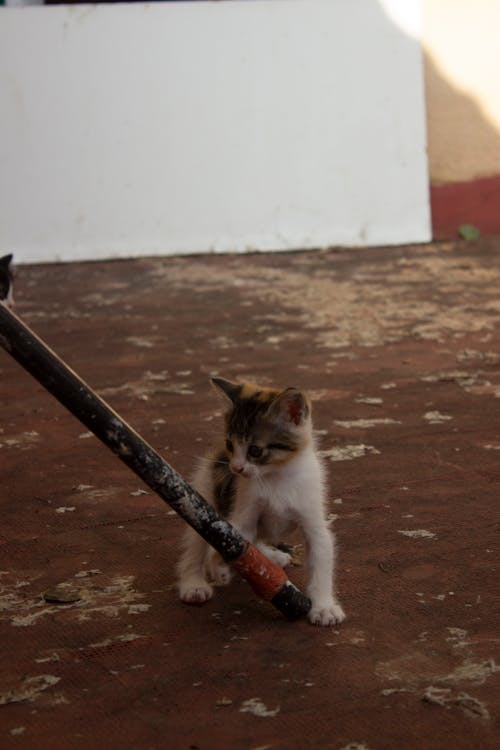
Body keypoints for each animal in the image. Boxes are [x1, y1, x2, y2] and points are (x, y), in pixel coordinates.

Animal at [178, 376, 346, 628]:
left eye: (255, 450)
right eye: (230, 444)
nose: (236, 468)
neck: (275, 476)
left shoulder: (313, 520)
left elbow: (321, 559)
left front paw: (324, 606)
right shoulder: (242, 513)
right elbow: (234, 542)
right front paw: (218, 566)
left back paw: (271, 557)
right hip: (201, 498)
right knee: (195, 547)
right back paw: (194, 583)